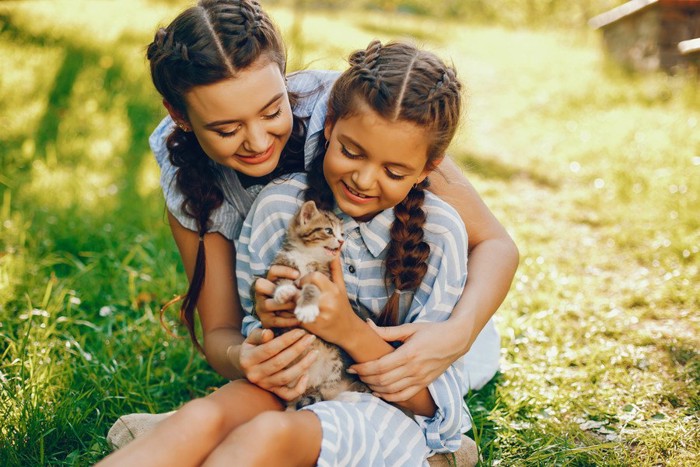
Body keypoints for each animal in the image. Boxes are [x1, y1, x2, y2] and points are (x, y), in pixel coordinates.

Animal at [262, 201, 370, 410]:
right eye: (329, 231)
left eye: (342, 234)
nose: (341, 242)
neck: (306, 255)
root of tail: (311, 382)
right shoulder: (283, 264)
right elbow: (281, 281)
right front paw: (282, 291)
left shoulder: (323, 278)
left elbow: (311, 288)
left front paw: (306, 309)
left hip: (334, 363)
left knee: (328, 394)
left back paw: (347, 397)